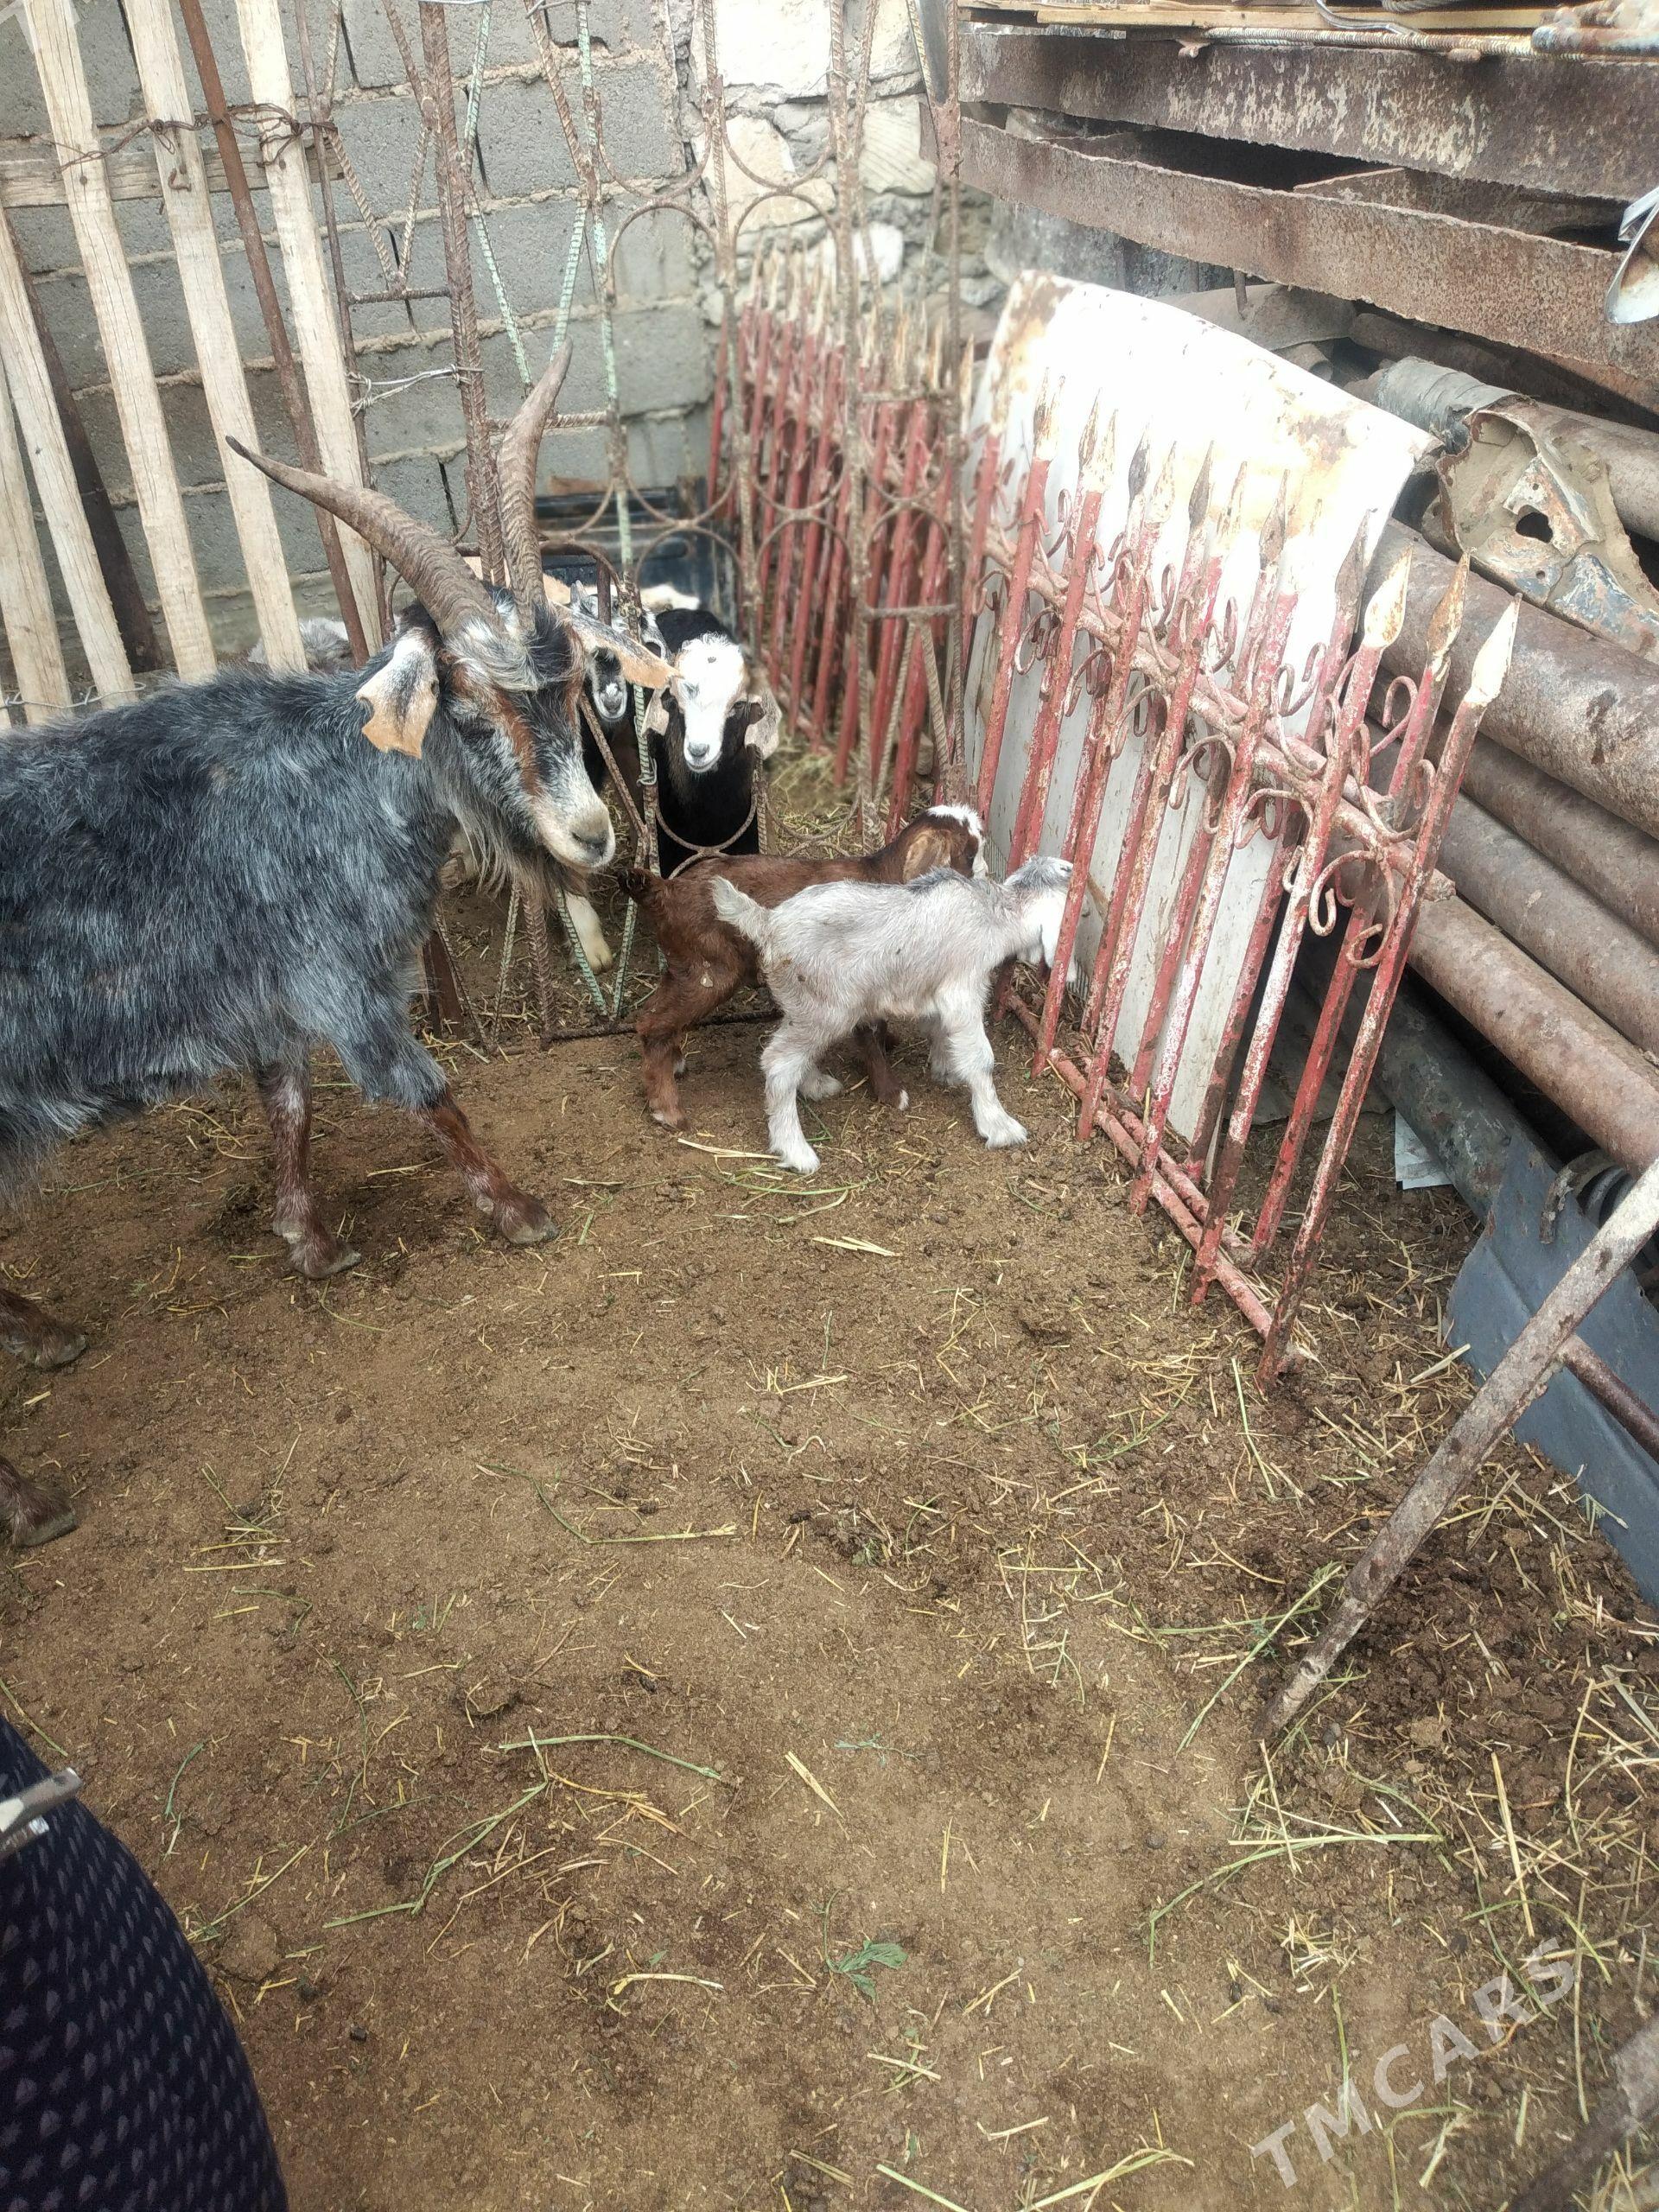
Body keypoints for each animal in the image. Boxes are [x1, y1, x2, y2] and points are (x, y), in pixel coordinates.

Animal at [0, 346, 608, 1547]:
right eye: (468, 700)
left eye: (565, 674)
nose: (593, 835)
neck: (337, 777)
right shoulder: (341, 982)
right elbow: (426, 1093)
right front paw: (518, 1211)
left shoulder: (274, 994)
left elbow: (289, 1107)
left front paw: (309, 1242)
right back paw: (33, 1500)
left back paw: (46, 1332)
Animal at [620, 803, 988, 1128]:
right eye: (970, 854)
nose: (987, 876)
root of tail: (667, 889)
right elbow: (869, 1033)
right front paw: (891, 1092)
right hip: (712, 971)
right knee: (653, 1023)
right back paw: (667, 1108)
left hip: (685, 965)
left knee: (655, 1012)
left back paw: (675, 1062)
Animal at [711, 855, 1075, 1175]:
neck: (992, 913)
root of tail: (767, 924)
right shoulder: (962, 988)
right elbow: (980, 1057)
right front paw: (999, 1125)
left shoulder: (935, 991)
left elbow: (938, 1029)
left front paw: (945, 1069)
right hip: (826, 1008)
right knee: (779, 1063)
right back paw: (796, 1150)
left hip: (803, 1007)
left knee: (793, 1051)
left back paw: (816, 1085)